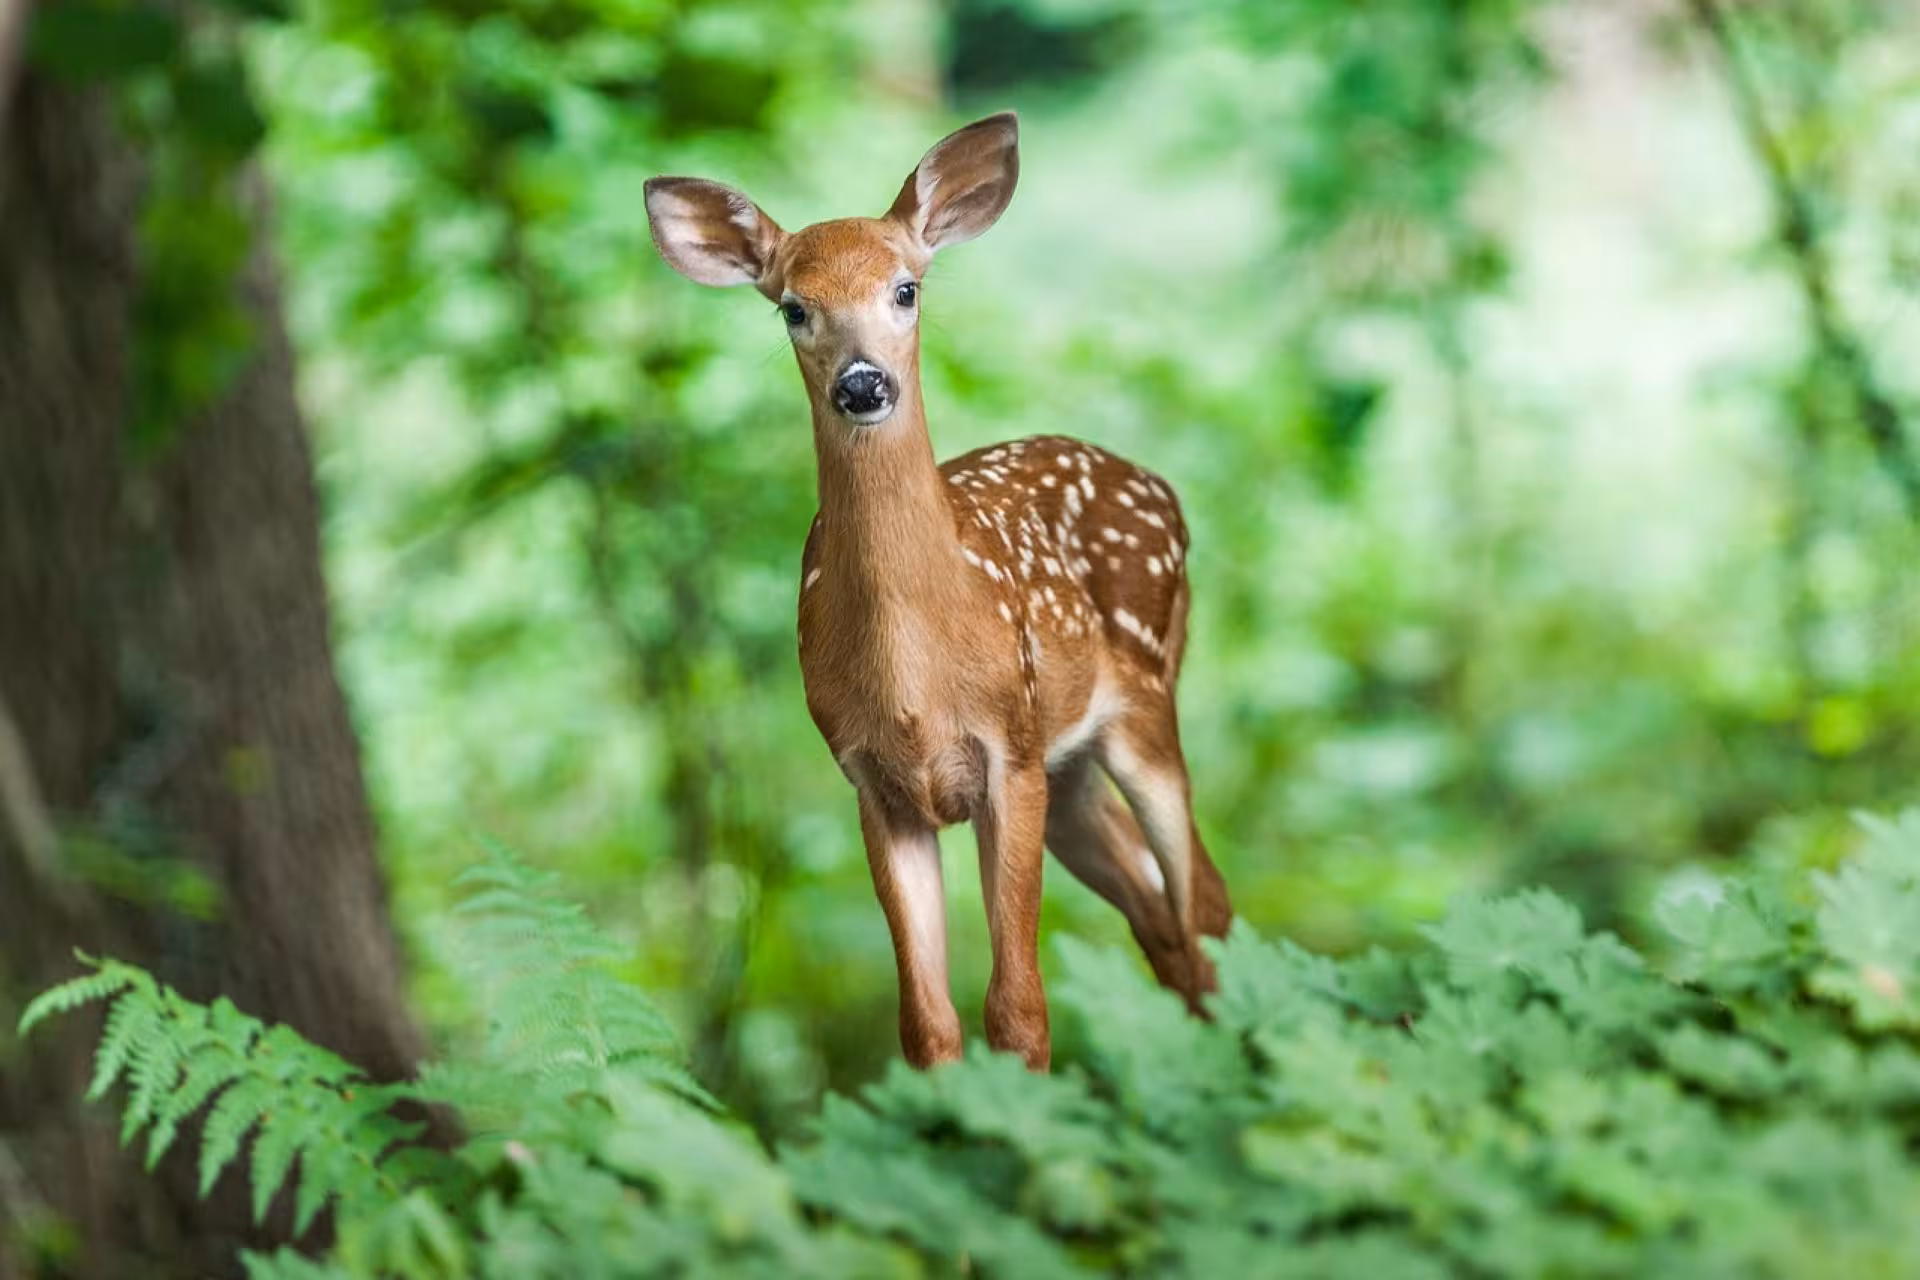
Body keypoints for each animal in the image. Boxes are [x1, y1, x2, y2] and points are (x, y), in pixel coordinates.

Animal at [644, 112, 1232, 1070]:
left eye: (906, 289)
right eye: (793, 307)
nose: (862, 383)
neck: (916, 676)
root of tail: (1161, 487)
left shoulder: (1008, 751)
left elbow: (1019, 1009)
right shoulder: (873, 782)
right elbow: (926, 1023)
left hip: (1142, 699)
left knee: (1204, 903)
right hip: (1071, 770)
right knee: (1160, 916)